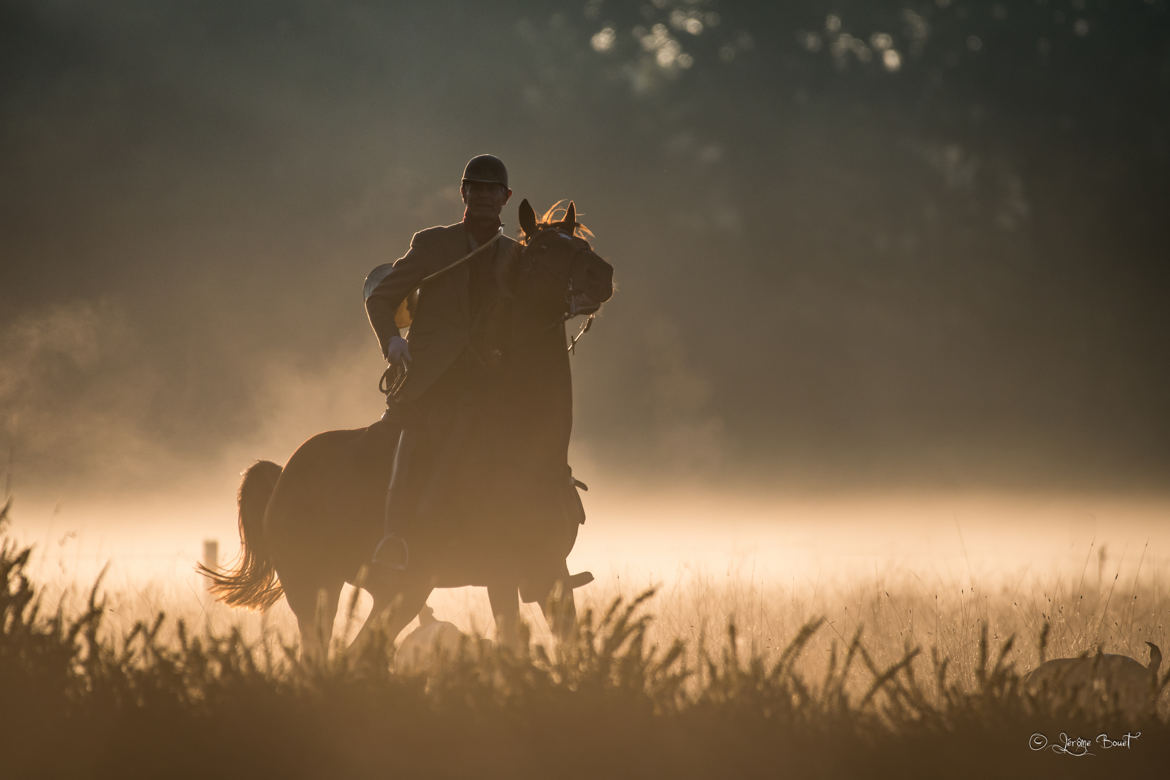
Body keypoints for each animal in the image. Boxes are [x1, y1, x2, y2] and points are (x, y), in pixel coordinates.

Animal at [198, 199, 613, 659]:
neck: (521, 449)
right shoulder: (503, 571)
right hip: (323, 589)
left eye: (578, 242)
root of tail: (283, 473)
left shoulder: (544, 573)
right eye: (541, 249)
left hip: (390, 591)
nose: (602, 275)